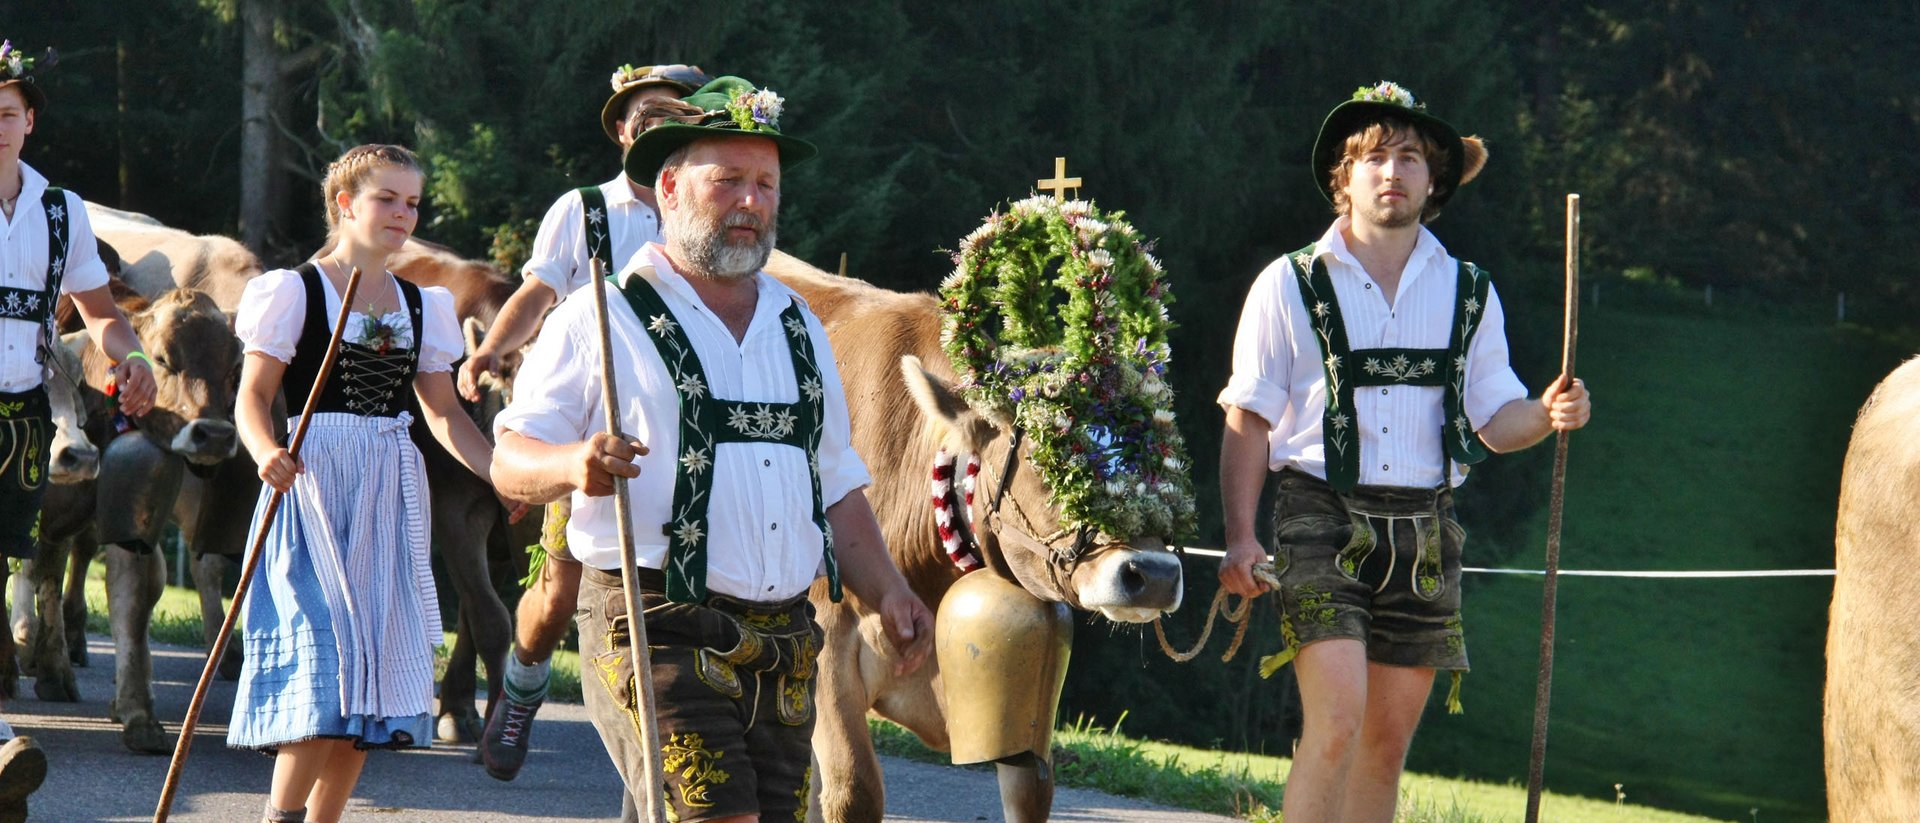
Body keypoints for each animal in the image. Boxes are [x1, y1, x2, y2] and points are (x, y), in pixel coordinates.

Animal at [771, 193, 1190, 821]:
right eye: (1050, 449)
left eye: (1160, 455)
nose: (1156, 575)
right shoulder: (826, 650)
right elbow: (852, 790)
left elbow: (1032, 789)